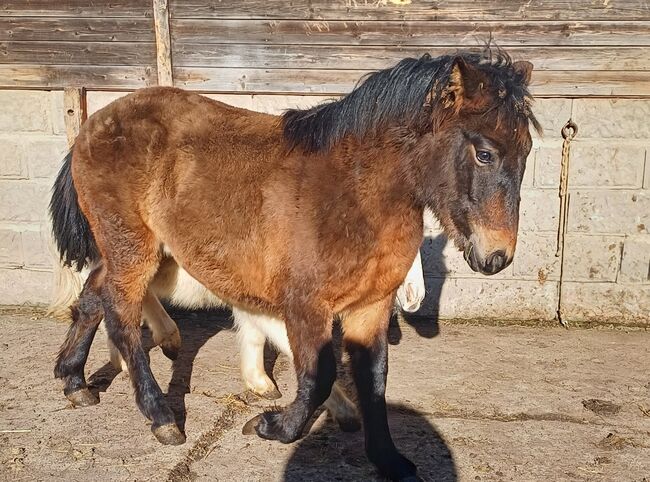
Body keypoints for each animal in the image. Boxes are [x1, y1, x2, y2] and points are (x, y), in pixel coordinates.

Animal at [49, 50, 536, 480]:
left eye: (527, 150)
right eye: (485, 153)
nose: (496, 257)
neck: (352, 194)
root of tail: (94, 125)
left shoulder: (371, 307)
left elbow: (374, 380)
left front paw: (390, 461)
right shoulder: (306, 305)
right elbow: (317, 376)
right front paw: (271, 425)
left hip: (139, 252)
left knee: (93, 297)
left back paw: (74, 382)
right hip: (132, 248)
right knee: (122, 318)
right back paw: (161, 416)